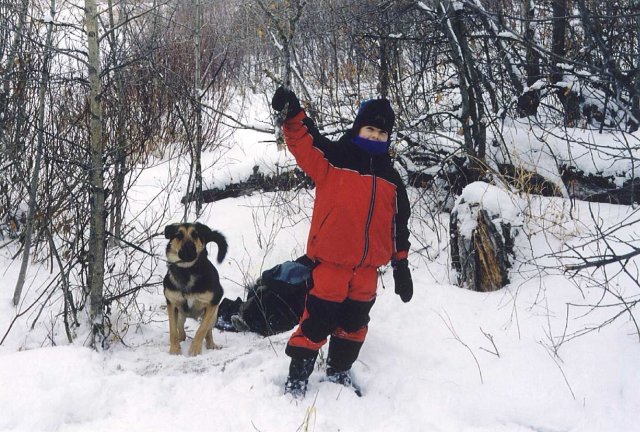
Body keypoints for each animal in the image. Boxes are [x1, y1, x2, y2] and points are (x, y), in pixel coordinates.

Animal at [162, 221, 228, 356]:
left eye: (195, 235)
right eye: (179, 235)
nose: (189, 246)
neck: (187, 270)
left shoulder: (213, 303)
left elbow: (202, 329)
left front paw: (195, 349)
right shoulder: (172, 303)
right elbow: (173, 330)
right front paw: (175, 350)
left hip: (214, 315)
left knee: (208, 330)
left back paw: (211, 344)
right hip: (180, 313)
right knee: (180, 329)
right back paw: (181, 339)